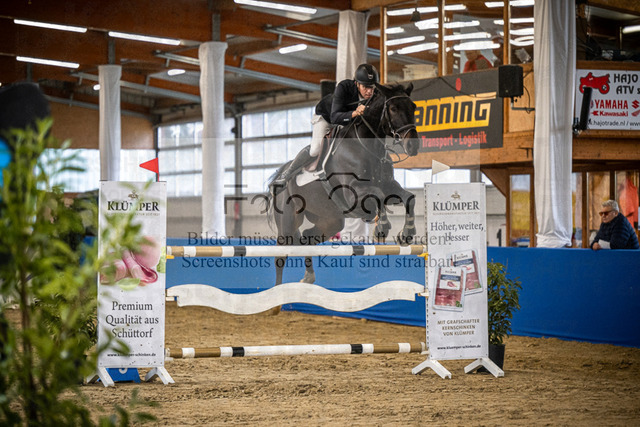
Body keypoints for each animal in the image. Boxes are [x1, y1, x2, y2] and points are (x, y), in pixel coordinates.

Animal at [267, 82, 420, 285]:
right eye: (393, 109)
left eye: (413, 107)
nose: (413, 146)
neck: (368, 147)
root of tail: (282, 172)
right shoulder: (354, 192)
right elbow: (377, 195)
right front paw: (382, 228)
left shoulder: (389, 186)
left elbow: (408, 197)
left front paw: (407, 234)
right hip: (288, 221)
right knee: (281, 254)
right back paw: (278, 291)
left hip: (330, 220)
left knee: (307, 238)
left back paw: (308, 277)